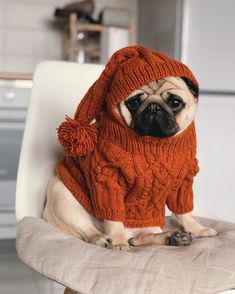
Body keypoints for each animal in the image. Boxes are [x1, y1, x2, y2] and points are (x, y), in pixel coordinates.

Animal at [43, 76, 218, 250]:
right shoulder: (108, 180)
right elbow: (114, 217)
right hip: (63, 197)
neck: (154, 143)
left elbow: (184, 212)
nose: (153, 107)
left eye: (175, 102)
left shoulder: (182, 182)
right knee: (91, 232)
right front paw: (118, 242)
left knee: (138, 239)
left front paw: (198, 229)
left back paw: (173, 237)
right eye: (133, 102)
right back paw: (104, 239)